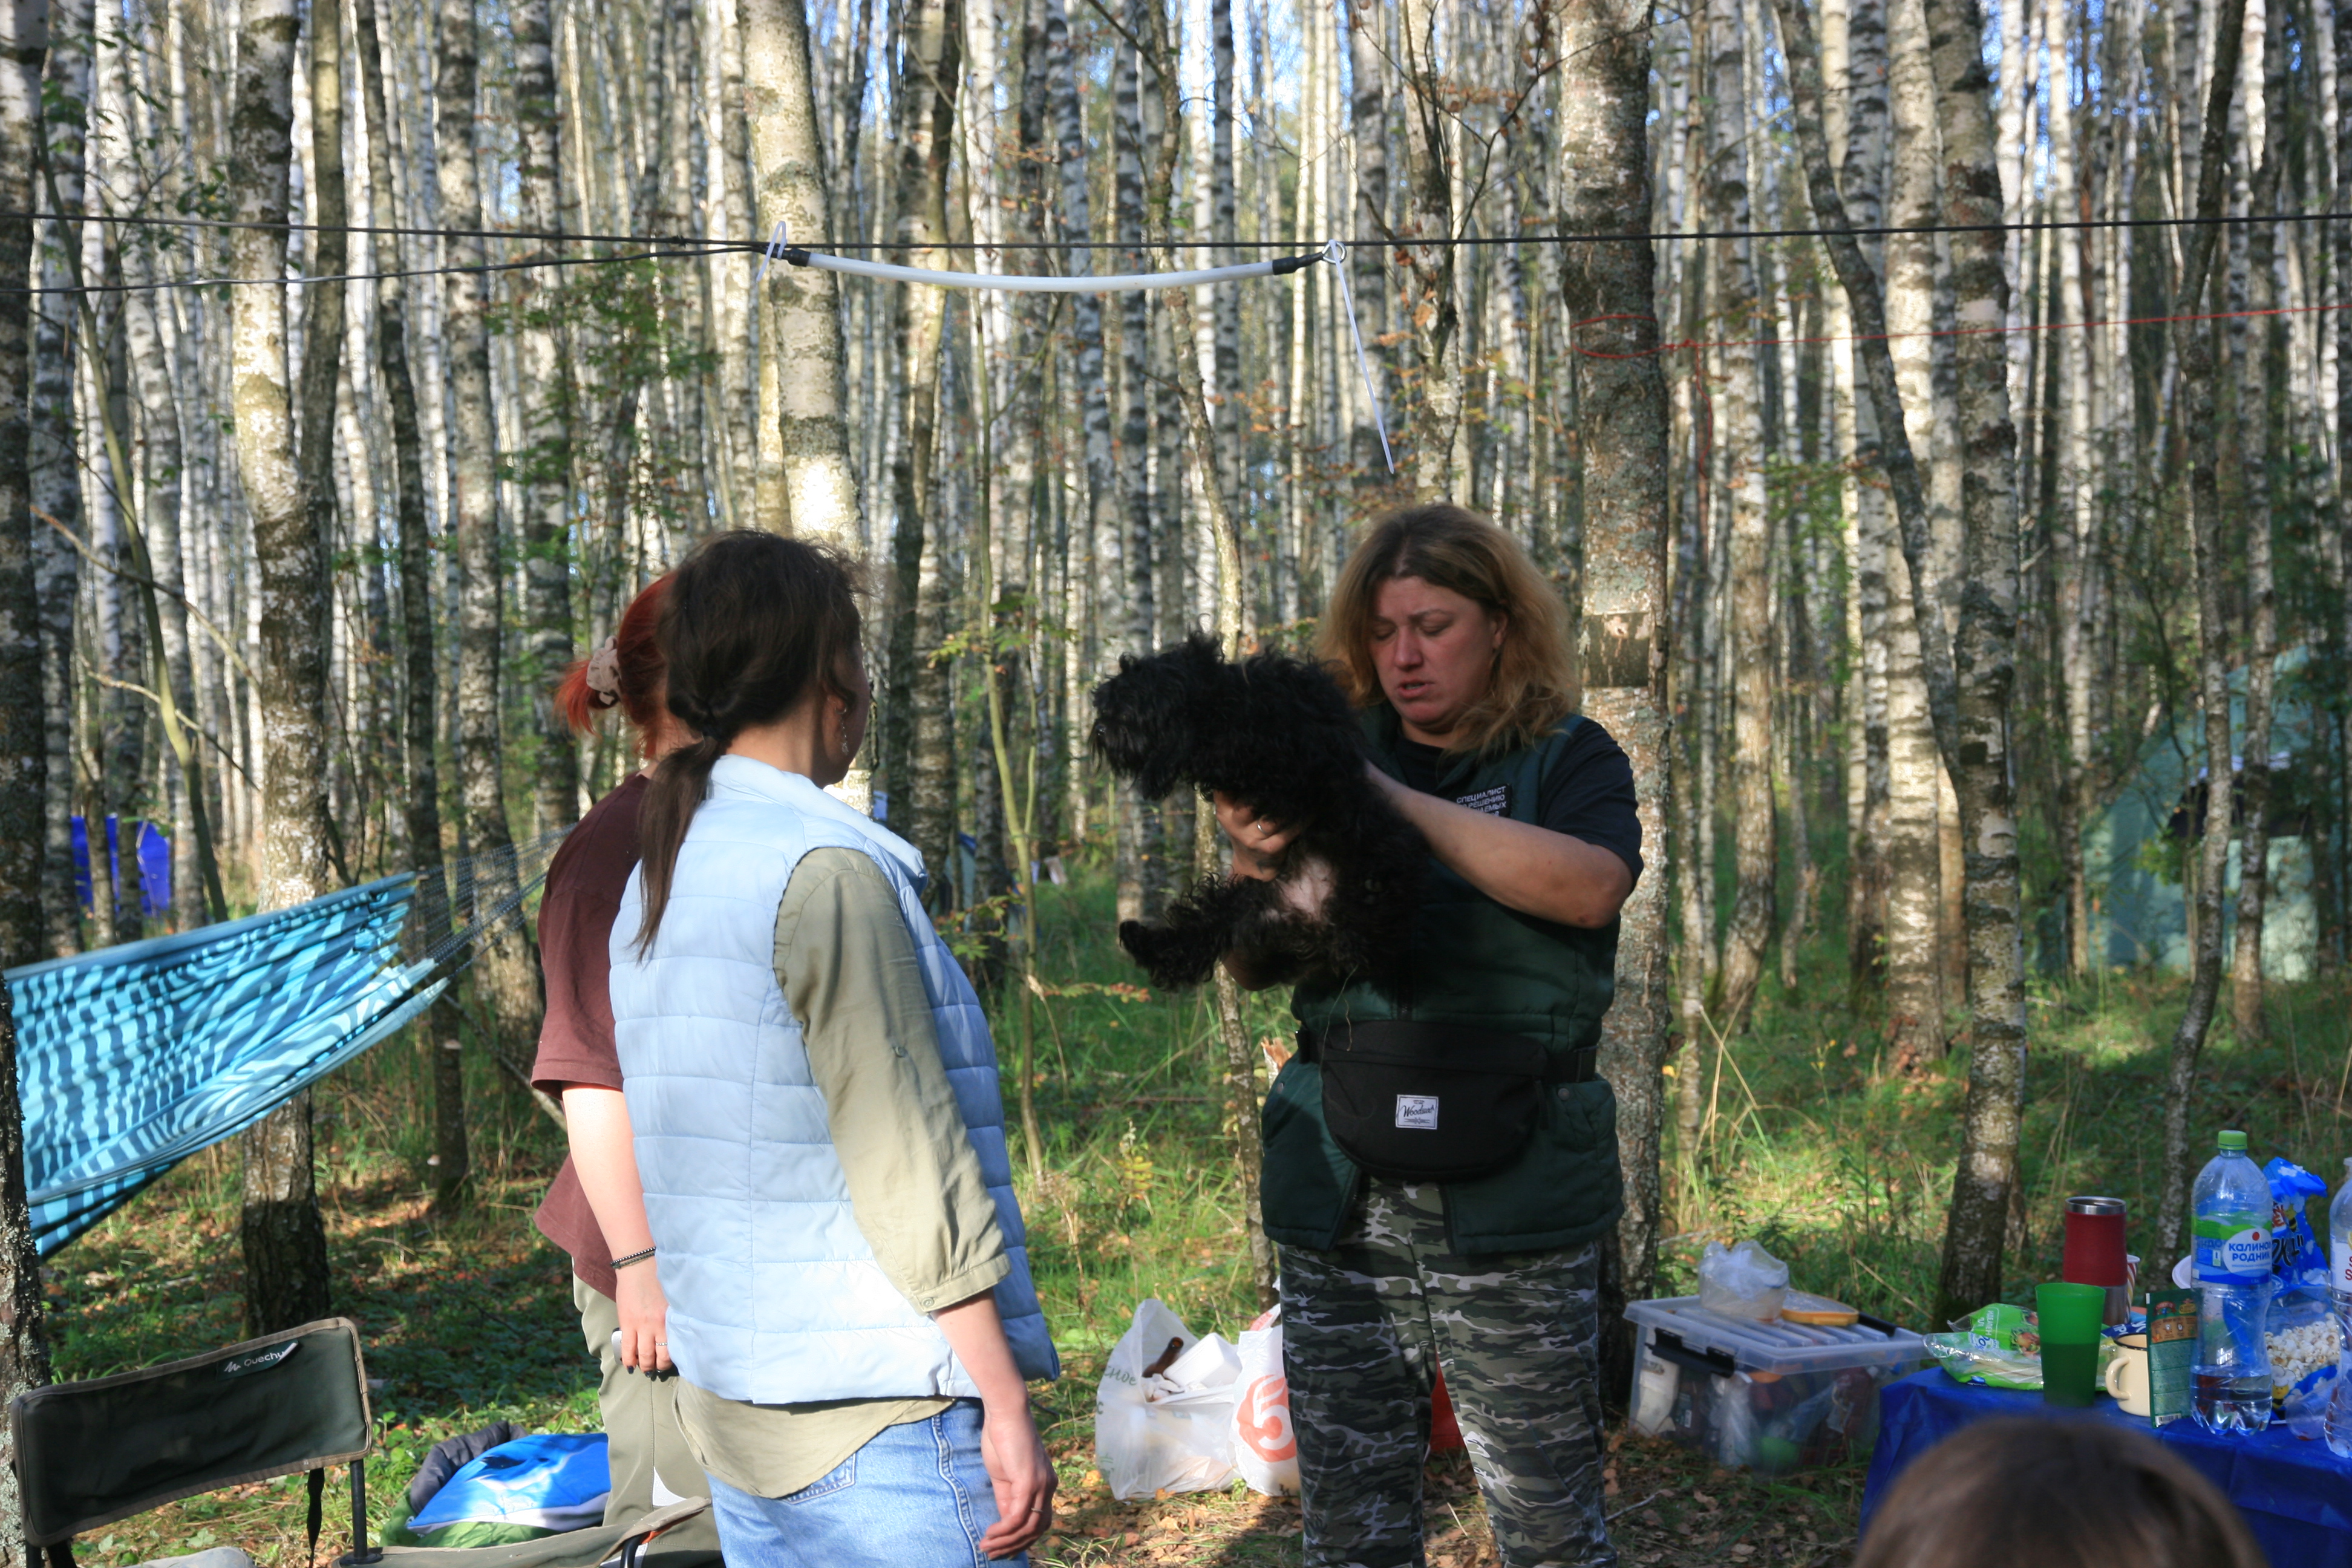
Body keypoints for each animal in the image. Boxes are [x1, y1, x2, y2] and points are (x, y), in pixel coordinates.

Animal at [1088, 634, 1425, 992]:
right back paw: (1138, 938)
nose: (1100, 729)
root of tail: (1317, 922)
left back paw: (1371, 895)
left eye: (1129, 704)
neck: (1227, 698)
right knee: (1194, 937)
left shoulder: (1299, 756)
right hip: (1238, 904)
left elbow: (1221, 743)